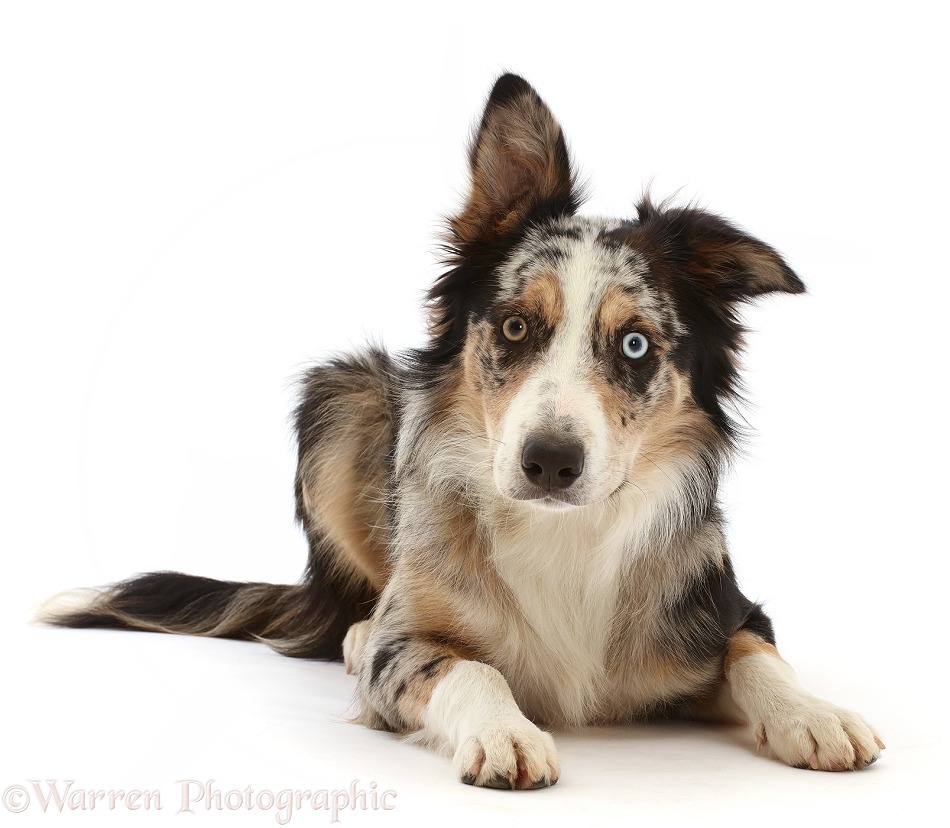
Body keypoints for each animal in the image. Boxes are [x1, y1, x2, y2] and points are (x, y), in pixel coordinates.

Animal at [42, 74, 884, 784]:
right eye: (514, 326)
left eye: (636, 345)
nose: (550, 462)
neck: (562, 534)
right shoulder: (405, 655)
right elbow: (469, 666)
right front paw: (503, 731)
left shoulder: (724, 607)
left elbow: (758, 654)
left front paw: (816, 715)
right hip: (343, 395)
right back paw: (353, 631)